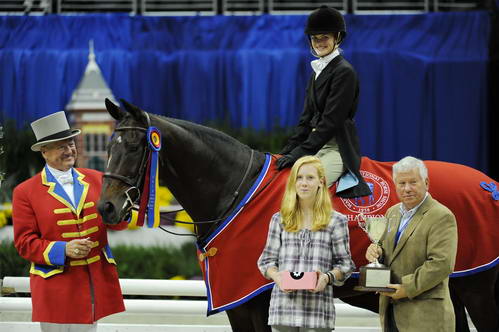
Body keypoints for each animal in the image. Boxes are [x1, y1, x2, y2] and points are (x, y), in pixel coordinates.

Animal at [98, 98, 499, 332]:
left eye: (133, 146)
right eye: (108, 146)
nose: (106, 207)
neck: (236, 190)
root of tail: (489, 185)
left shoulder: (252, 300)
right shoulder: (241, 305)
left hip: (478, 288)